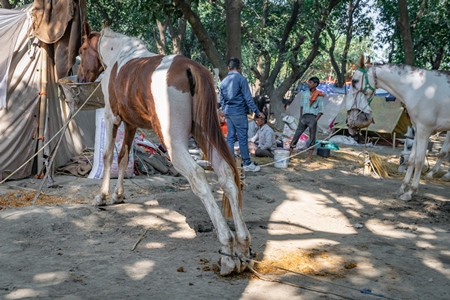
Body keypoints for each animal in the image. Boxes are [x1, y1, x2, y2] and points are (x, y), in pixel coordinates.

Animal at [78, 24, 253, 276]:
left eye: (82, 49)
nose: (80, 77)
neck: (120, 55)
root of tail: (190, 67)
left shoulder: (113, 118)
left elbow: (108, 156)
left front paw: (102, 197)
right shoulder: (131, 124)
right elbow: (123, 158)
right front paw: (118, 195)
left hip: (174, 142)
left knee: (198, 177)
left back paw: (227, 252)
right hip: (205, 135)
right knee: (227, 175)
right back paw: (242, 250)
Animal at [352, 55, 450, 202]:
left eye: (354, 81)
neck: (417, 88)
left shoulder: (424, 130)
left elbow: (419, 161)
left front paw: (410, 192)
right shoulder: (417, 129)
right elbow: (412, 160)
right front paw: (402, 188)